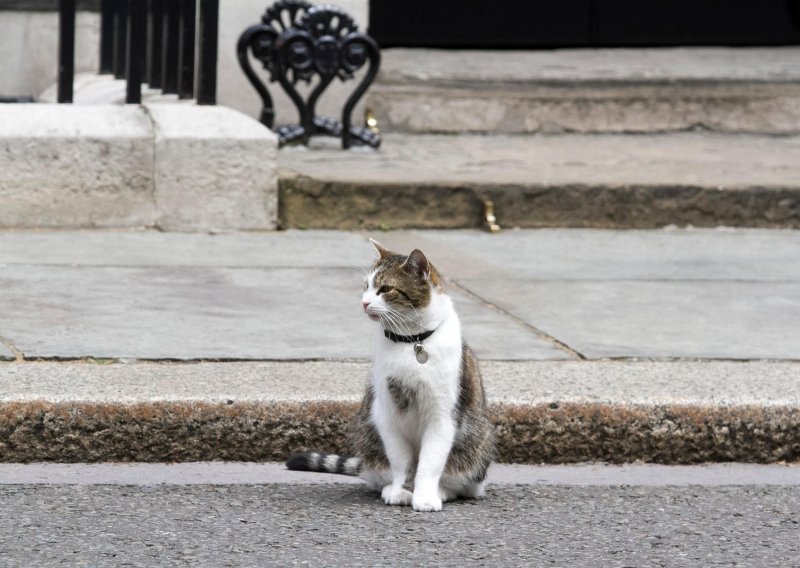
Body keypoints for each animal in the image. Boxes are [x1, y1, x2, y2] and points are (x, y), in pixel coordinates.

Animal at [284, 237, 490, 512]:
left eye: (385, 289)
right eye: (366, 287)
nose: (364, 302)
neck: (411, 342)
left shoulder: (442, 416)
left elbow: (430, 463)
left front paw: (425, 497)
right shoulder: (387, 412)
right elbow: (401, 462)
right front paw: (400, 490)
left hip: (475, 442)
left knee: (465, 484)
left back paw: (443, 491)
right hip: (368, 432)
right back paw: (388, 487)